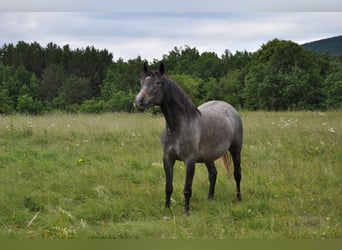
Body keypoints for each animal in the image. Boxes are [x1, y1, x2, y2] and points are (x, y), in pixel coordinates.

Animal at [134, 62, 243, 215]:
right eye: (141, 82)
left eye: (157, 82)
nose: (138, 101)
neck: (178, 127)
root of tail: (230, 108)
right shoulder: (168, 159)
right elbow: (168, 186)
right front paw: (167, 209)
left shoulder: (190, 161)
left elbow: (187, 189)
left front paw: (186, 212)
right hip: (208, 156)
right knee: (213, 174)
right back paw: (210, 198)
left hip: (236, 150)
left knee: (237, 174)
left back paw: (239, 198)